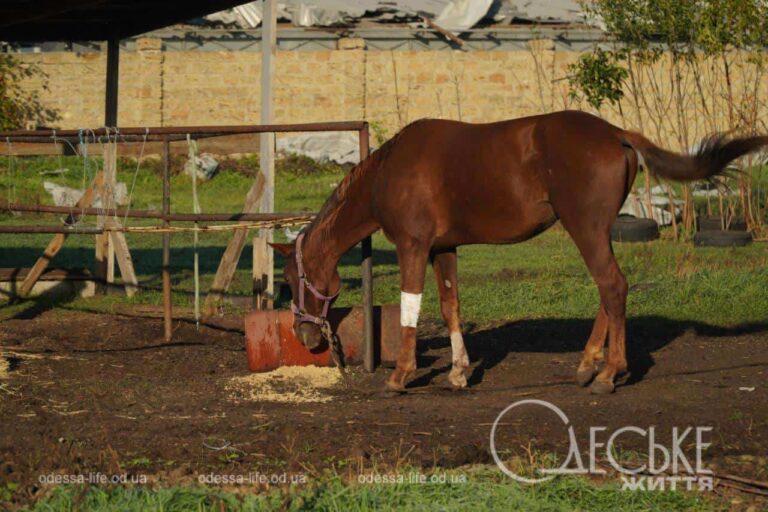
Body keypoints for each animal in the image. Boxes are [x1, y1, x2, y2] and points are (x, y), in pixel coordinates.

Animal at [272, 110, 768, 394]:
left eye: (291, 280)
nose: (305, 335)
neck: (388, 171)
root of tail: (617, 133)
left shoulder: (413, 247)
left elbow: (412, 307)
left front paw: (401, 375)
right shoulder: (444, 248)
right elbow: (451, 306)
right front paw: (459, 372)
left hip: (585, 228)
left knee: (612, 286)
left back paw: (608, 373)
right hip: (595, 231)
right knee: (609, 291)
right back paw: (588, 365)